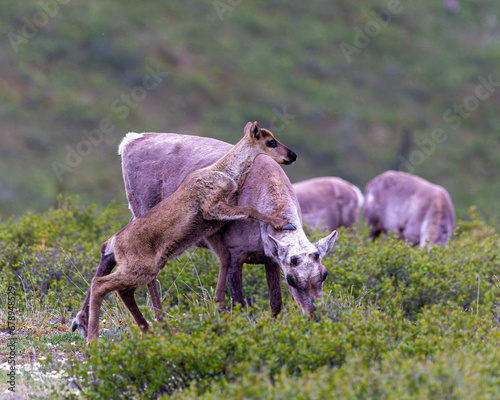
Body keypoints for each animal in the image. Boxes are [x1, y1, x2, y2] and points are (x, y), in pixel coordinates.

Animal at [81, 122, 296, 344]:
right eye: (271, 141)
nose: (292, 155)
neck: (224, 171)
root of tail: (116, 241)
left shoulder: (215, 227)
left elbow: (226, 256)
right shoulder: (212, 208)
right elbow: (250, 210)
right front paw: (284, 223)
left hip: (145, 269)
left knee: (122, 289)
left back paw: (146, 329)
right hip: (140, 270)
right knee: (100, 284)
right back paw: (93, 337)